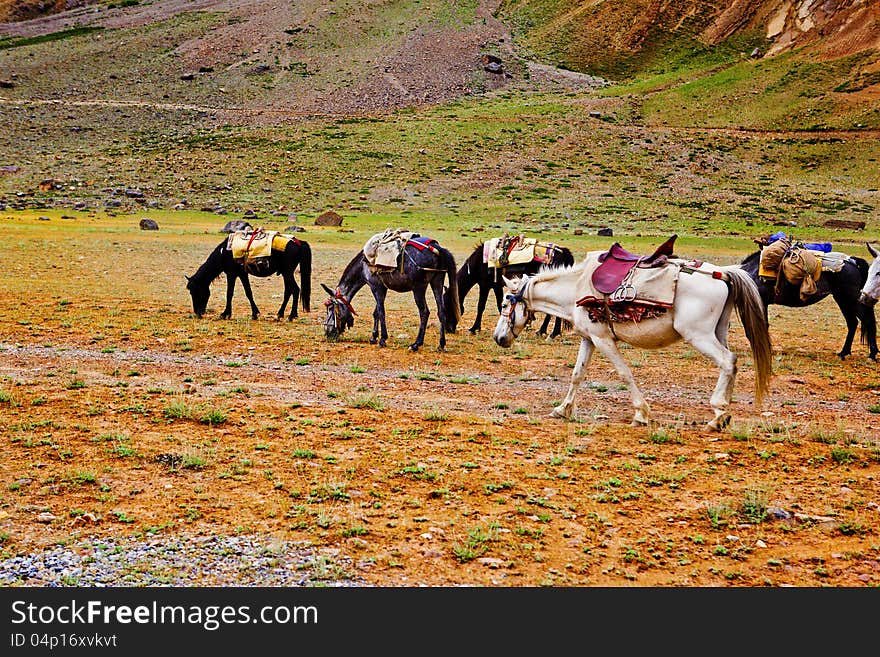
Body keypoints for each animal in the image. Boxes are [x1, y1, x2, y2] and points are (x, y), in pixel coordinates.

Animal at [184, 233, 312, 320]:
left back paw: (291, 315)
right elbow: (248, 292)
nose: (197, 312)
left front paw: (225, 314)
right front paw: (255, 314)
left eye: (194, 291)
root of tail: (299, 243)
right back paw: (280, 314)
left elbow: (229, 293)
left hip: (288, 272)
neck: (223, 253)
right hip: (286, 273)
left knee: (295, 290)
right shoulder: (242, 274)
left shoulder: (231, 274)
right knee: (288, 291)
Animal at [322, 234, 460, 348]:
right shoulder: (382, 288)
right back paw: (441, 344)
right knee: (441, 312)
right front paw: (373, 337)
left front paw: (382, 339)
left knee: (424, 312)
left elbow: (381, 312)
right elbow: (376, 312)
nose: (327, 332)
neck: (363, 265)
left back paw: (416, 344)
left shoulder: (375, 287)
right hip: (437, 282)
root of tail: (437, 249)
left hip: (419, 288)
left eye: (330, 307)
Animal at [440, 238, 576, 336]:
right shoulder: (496, 286)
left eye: (447, 306)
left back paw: (552, 333)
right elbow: (500, 304)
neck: (478, 263)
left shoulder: (485, 285)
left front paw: (474, 328)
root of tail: (564, 253)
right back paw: (544, 331)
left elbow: (481, 306)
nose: (448, 329)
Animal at [492, 255, 772, 430]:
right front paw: (562, 409)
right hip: (718, 331)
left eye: (505, 304)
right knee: (733, 362)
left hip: (698, 335)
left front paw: (642, 414)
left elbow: (624, 374)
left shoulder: (603, 339)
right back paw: (723, 413)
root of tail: (723, 274)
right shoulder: (589, 338)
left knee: (726, 361)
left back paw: (719, 414)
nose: (498, 338)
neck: (575, 289)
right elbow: (577, 375)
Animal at [740, 247, 876, 358]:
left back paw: (872, 354)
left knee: (867, 321)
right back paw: (844, 352)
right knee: (853, 323)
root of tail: (852, 261)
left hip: (851, 299)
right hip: (842, 300)